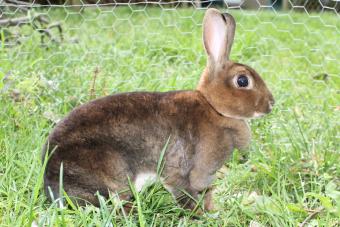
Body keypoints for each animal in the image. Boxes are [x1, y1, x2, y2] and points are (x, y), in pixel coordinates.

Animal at [42, 7, 274, 212]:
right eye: (242, 81)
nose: (271, 104)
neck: (214, 108)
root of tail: (50, 181)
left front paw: (211, 210)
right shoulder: (182, 171)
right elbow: (183, 192)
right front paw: (199, 214)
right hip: (111, 172)